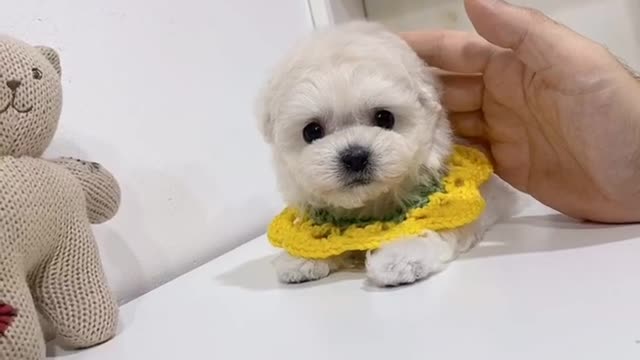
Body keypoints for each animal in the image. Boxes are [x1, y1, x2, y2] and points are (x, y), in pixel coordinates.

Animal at [258, 21, 524, 286]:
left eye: (385, 117)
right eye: (312, 131)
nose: (355, 157)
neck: (370, 205)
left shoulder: (457, 204)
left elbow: (435, 223)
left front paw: (402, 257)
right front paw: (301, 258)